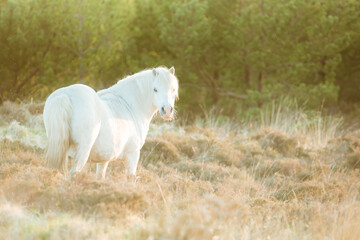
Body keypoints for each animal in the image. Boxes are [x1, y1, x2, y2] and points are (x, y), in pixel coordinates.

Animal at [43, 66, 179, 179]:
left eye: (173, 89)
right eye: (155, 89)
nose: (167, 110)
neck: (128, 105)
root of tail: (64, 95)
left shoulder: (103, 161)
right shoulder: (132, 155)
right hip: (82, 152)